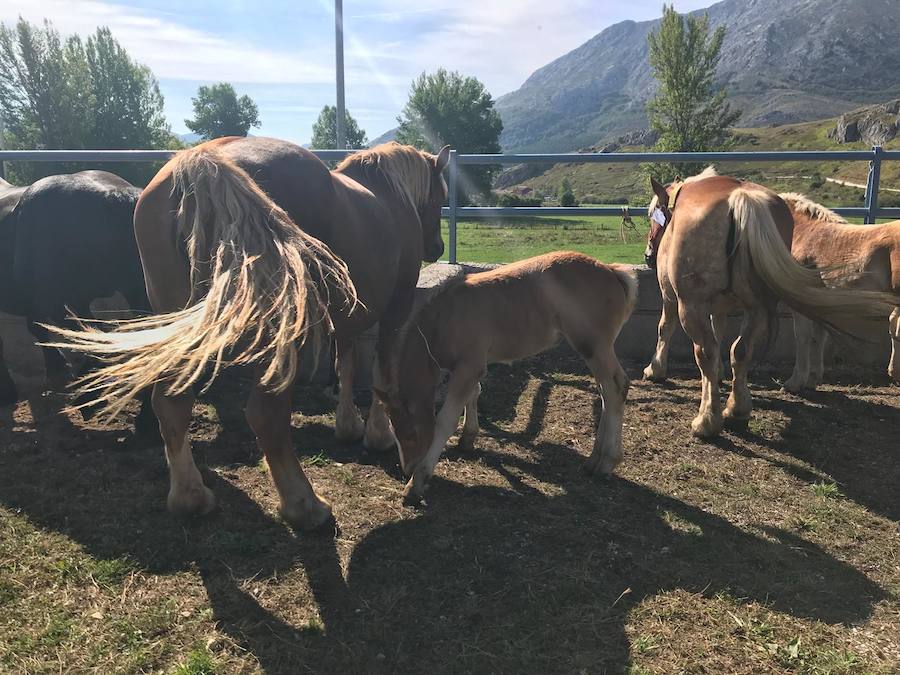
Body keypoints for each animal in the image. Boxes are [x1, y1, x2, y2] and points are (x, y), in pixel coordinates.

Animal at [47, 136, 448, 528]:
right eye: (440, 196)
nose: (438, 247)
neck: (387, 195)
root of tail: (202, 161)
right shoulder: (395, 306)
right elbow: (382, 372)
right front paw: (383, 436)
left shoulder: (349, 319)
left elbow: (346, 365)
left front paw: (349, 425)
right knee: (266, 415)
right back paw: (304, 506)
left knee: (172, 404)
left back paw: (191, 498)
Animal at [376, 254, 636, 508]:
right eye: (394, 431)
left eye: (412, 435)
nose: (408, 468)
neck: (446, 318)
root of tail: (612, 271)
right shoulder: (472, 368)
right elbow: (474, 393)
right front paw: (468, 437)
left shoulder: (468, 367)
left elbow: (445, 421)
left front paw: (417, 482)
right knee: (605, 391)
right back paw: (594, 458)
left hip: (594, 346)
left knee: (615, 387)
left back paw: (607, 462)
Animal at [780, 193, 900, 390]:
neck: (804, 231)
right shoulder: (818, 299)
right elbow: (818, 337)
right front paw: (813, 379)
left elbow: (803, 336)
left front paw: (795, 382)